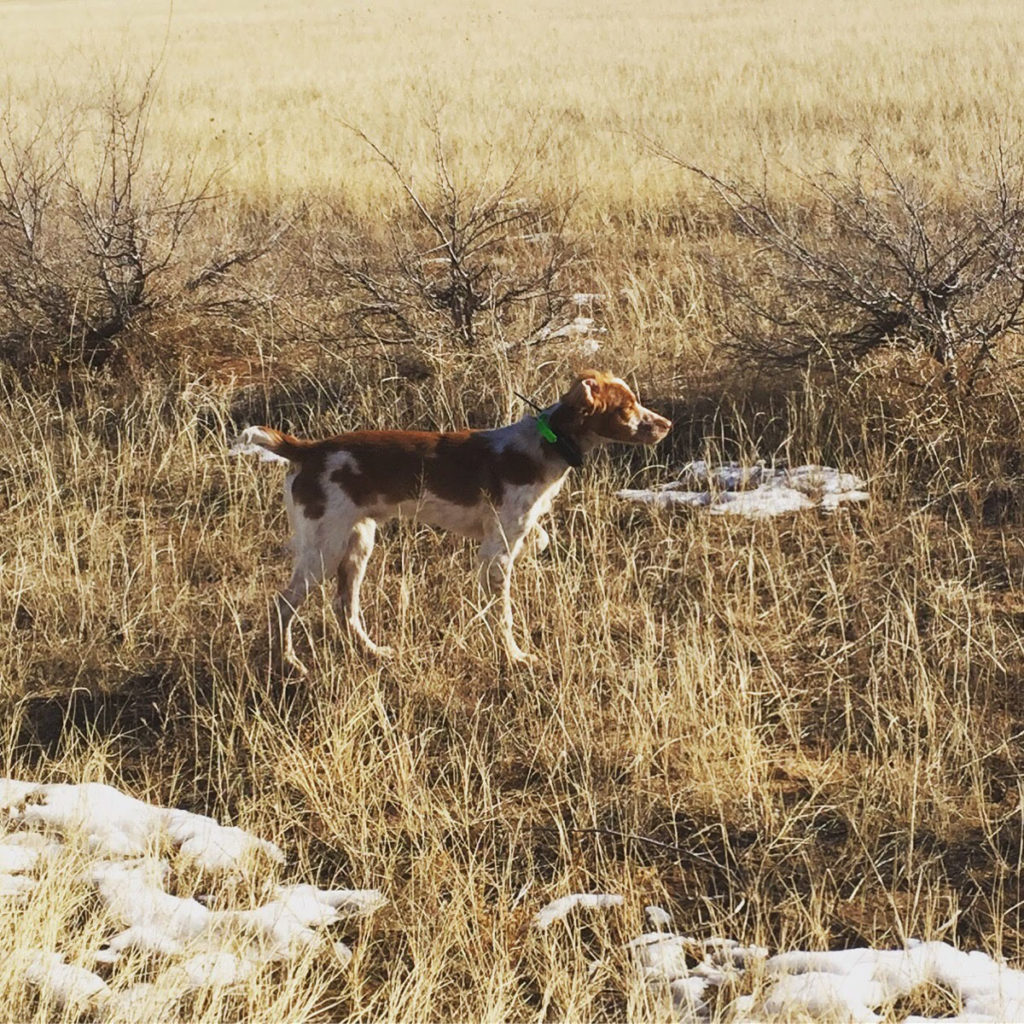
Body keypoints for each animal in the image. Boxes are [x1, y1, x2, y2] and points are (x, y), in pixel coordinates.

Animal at [232, 370, 671, 671]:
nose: (666, 425)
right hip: (325, 548)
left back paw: (371, 651)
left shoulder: (511, 536)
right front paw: (514, 656)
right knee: (283, 605)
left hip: (358, 543)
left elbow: (539, 541)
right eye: (626, 408)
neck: (547, 445)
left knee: (345, 606)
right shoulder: (497, 550)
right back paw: (289, 663)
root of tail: (308, 449)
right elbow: (503, 613)